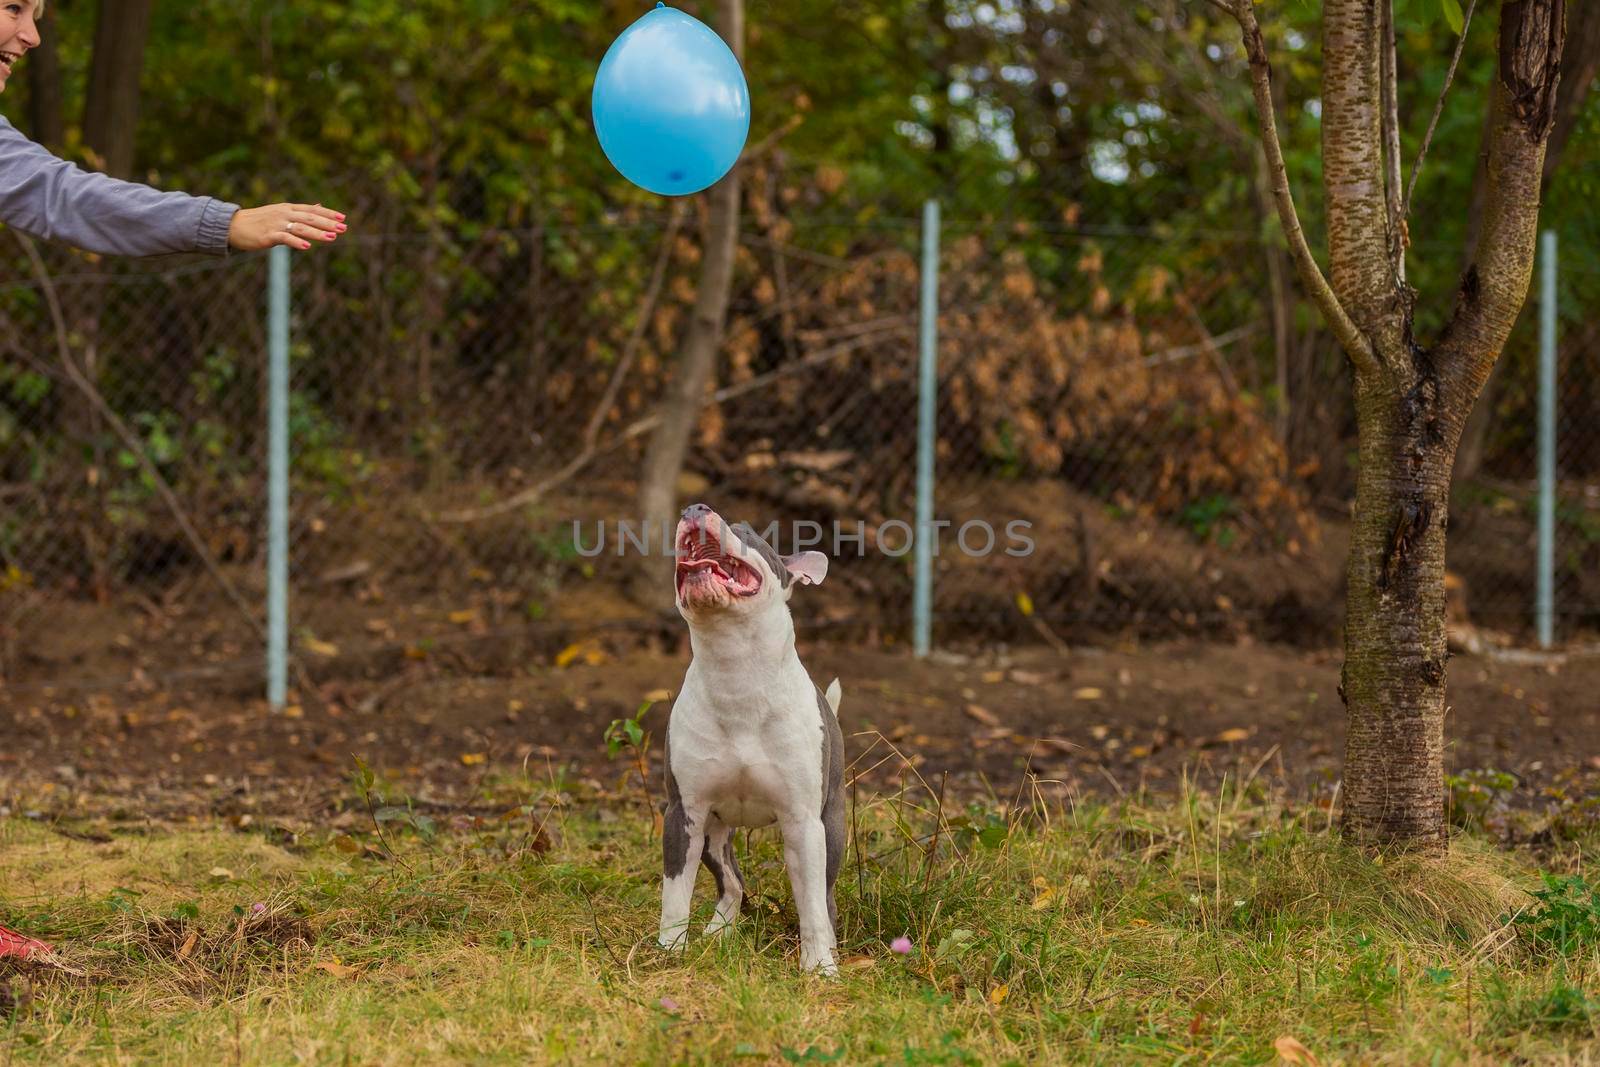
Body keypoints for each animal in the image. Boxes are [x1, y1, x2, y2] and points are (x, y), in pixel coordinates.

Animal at [656, 505, 851, 979]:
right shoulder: (683, 813)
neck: (735, 671)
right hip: (713, 833)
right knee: (732, 881)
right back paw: (718, 932)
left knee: (826, 896)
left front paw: (819, 967)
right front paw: (668, 952)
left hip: (832, 827)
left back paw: (831, 946)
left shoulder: (803, 822)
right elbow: (675, 895)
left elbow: (811, 905)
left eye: (744, 532)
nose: (694, 509)